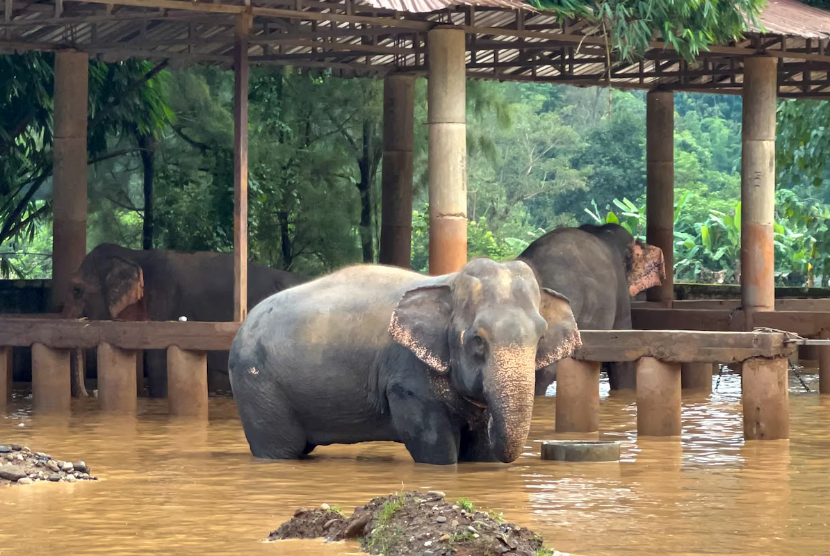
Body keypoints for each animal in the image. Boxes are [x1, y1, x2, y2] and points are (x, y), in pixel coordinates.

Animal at [226, 258, 580, 462]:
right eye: (478, 340)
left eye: (540, 337)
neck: (449, 281)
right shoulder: (407, 376)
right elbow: (434, 446)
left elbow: (479, 451)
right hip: (257, 386)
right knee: (280, 449)